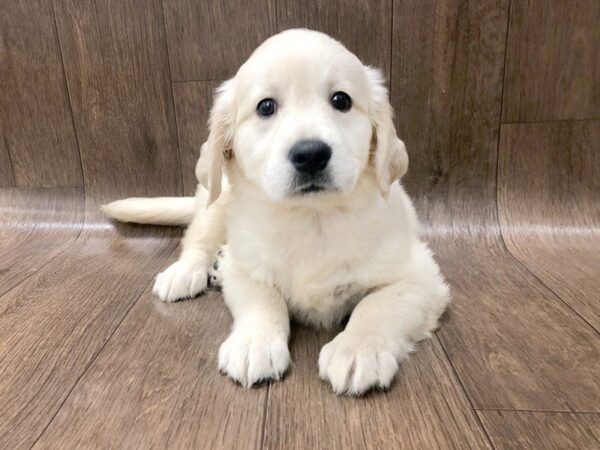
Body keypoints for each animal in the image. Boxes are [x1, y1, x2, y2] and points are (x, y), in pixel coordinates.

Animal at [103, 29, 450, 394]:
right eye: (266, 107)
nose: (311, 154)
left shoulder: (421, 276)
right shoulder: (245, 267)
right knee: (198, 240)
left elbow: (377, 305)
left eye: (341, 100)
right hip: (217, 196)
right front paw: (254, 345)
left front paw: (357, 350)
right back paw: (185, 272)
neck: (311, 218)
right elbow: (263, 297)